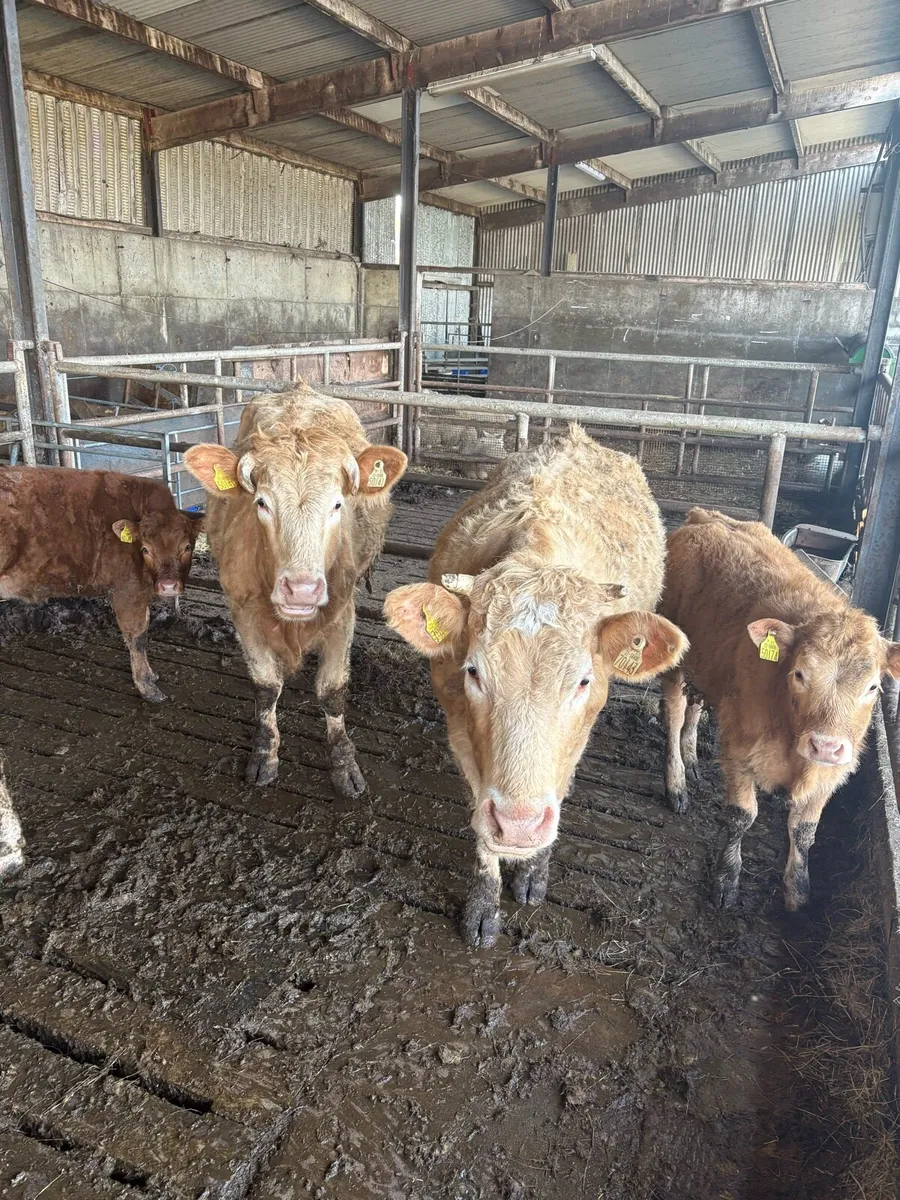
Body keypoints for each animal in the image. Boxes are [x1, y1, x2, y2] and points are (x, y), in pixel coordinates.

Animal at [0, 467, 200, 702]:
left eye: (187, 547)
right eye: (145, 549)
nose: (168, 585)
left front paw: (151, 675)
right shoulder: (127, 591)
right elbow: (137, 638)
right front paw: (147, 686)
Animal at [182, 384, 407, 797]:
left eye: (338, 504)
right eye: (262, 503)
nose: (301, 590)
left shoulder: (343, 614)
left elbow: (332, 690)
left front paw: (344, 762)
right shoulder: (242, 612)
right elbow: (266, 686)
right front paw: (264, 753)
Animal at [383, 425, 687, 948]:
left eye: (583, 680)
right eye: (473, 672)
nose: (520, 826)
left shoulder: (579, 732)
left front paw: (532, 873)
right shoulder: (458, 725)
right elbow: (481, 821)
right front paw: (485, 904)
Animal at [659, 508, 900, 911]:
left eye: (873, 687)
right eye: (800, 674)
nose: (826, 746)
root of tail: (706, 515)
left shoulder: (830, 773)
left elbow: (804, 831)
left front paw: (798, 891)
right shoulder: (740, 752)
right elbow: (741, 816)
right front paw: (727, 879)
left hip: (706, 669)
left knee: (695, 708)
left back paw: (692, 759)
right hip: (675, 659)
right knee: (675, 714)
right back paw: (677, 783)